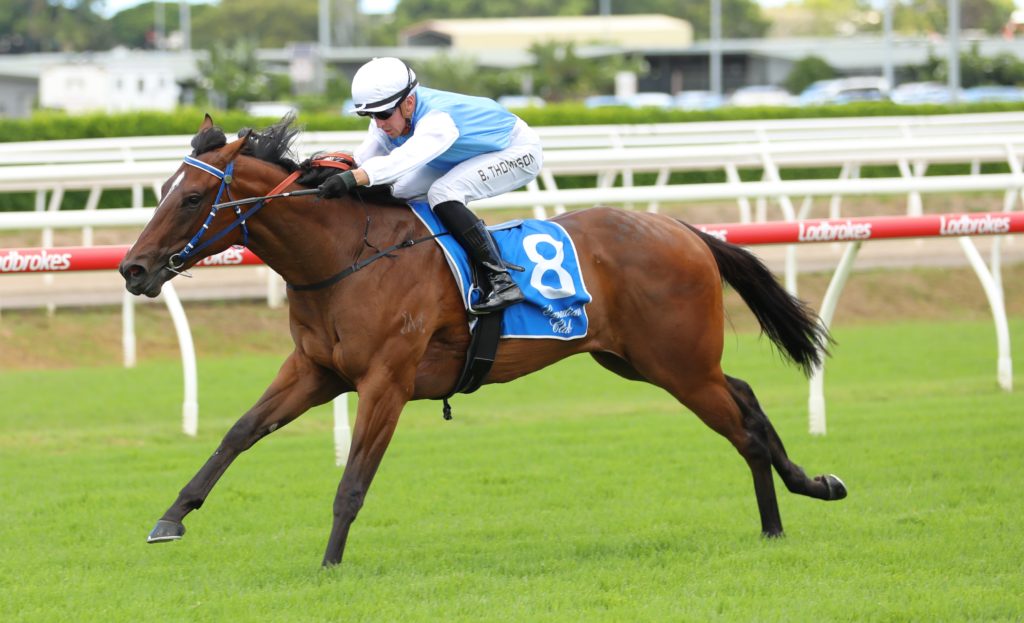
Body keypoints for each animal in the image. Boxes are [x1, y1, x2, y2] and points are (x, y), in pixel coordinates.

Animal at [120, 114, 847, 567]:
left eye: (191, 199)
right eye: (162, 192)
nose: (133, 268)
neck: (345, 256)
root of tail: (684, 229)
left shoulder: (387, 380)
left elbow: (353, 479)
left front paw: (328, 563)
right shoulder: (315, 370)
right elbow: (239, 432)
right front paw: (171, 517)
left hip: (678, 363)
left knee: (742, 425)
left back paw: (797, 501)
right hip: (641, 360)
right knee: (745, 396)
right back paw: (792, 503)